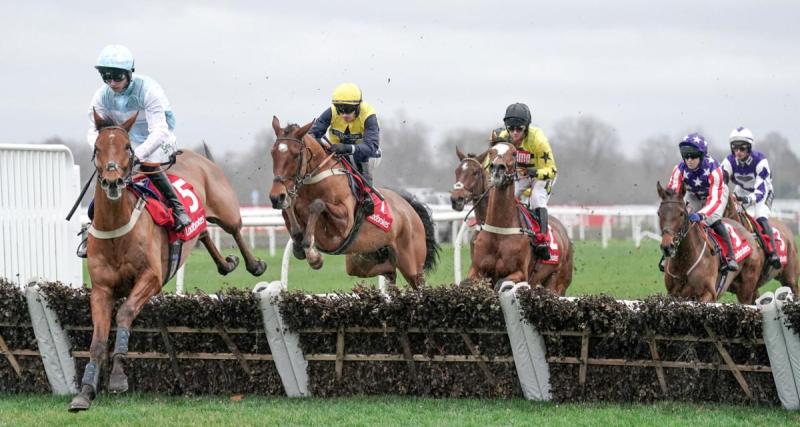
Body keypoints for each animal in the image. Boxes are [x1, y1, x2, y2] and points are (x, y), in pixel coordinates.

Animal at [69, 113, 268, 412]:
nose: (113, 182)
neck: (117, 230)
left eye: (127, 146)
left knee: (234, 229)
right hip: (199, 223)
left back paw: (254, 265)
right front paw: (85, 392)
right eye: (97, 147)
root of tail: (196, 155)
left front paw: (118, 376)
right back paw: (225, 264)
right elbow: (97, 341)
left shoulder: (151, 277)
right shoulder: (101, 289)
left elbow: (125, 313)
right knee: (203, 232)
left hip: (226, 208)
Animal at [268, 116, 438, 288]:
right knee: (389, 270)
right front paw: (298, 244)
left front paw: (313, 255)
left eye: (296, 155)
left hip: (412, 264)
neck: (317, 180)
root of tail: (409, 207)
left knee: (419, 283)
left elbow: (317, 205)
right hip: (361, 260)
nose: (276, 197)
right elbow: (288, 210)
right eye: (272, 153)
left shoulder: (344, 224)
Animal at [462, 144, 576, 294]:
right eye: (491, 152)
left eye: (514, 153)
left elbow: (502, 284)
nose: (498, 168)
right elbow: (466, 283)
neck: (500, 230)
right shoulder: (476, 269)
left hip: (557, 283)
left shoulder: (520, 273)